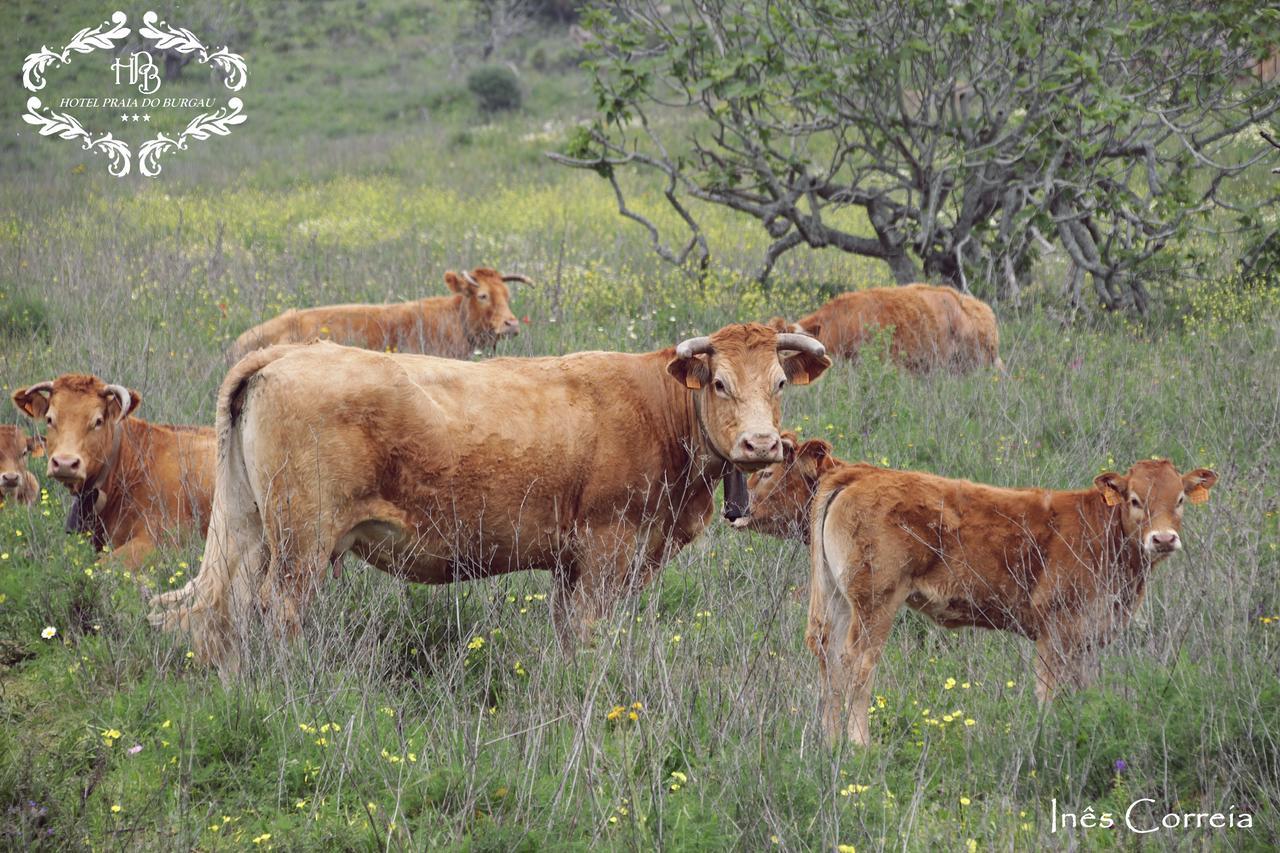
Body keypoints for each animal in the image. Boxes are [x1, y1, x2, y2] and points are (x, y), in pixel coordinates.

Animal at [152, 322, 829, 666]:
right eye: (718, 382)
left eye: (778, 382)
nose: (761, 443)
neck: (656, 408)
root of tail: (285, 353)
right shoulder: (609, 549)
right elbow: (590, 628)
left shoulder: (571, 562)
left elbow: (567, 628)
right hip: (302, 541)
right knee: (279, 609)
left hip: (251, 530)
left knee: (227, 607)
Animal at [737, 435, 1213, 742]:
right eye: (1134, 500)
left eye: (1180, 500)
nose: (1163, 539)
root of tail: (858, 476)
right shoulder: (1055, 632)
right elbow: (1048, 692)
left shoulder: (1090, 637)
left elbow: (1083, 689)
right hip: (876, 603)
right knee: (856, 662)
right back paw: (858, 747)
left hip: (834, 596)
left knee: (826, 652)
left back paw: (830, 743)